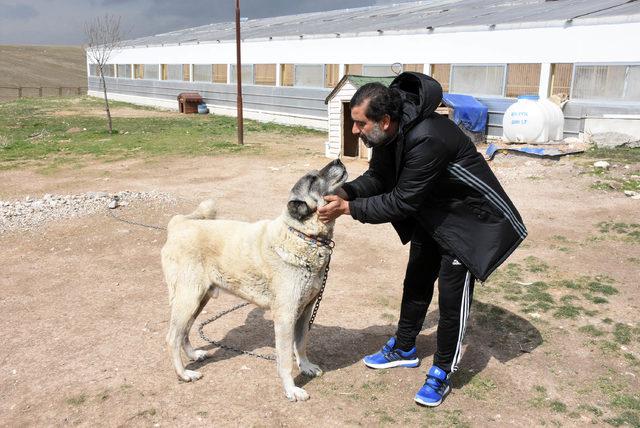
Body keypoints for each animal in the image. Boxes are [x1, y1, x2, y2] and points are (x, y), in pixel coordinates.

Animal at [162, 158, 348, 402]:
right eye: (313, 179)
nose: (338, 159)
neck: (302, 235)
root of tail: (178, 224)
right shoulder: (285, 316)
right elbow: (285, 359)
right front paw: (291, 389)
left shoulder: (305, 311)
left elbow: (301, 344)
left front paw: (306, 366)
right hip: (188, 298)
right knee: (172, 337)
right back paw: (183, 374)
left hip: (199, 299)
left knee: (183, 331)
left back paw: (194, 355)